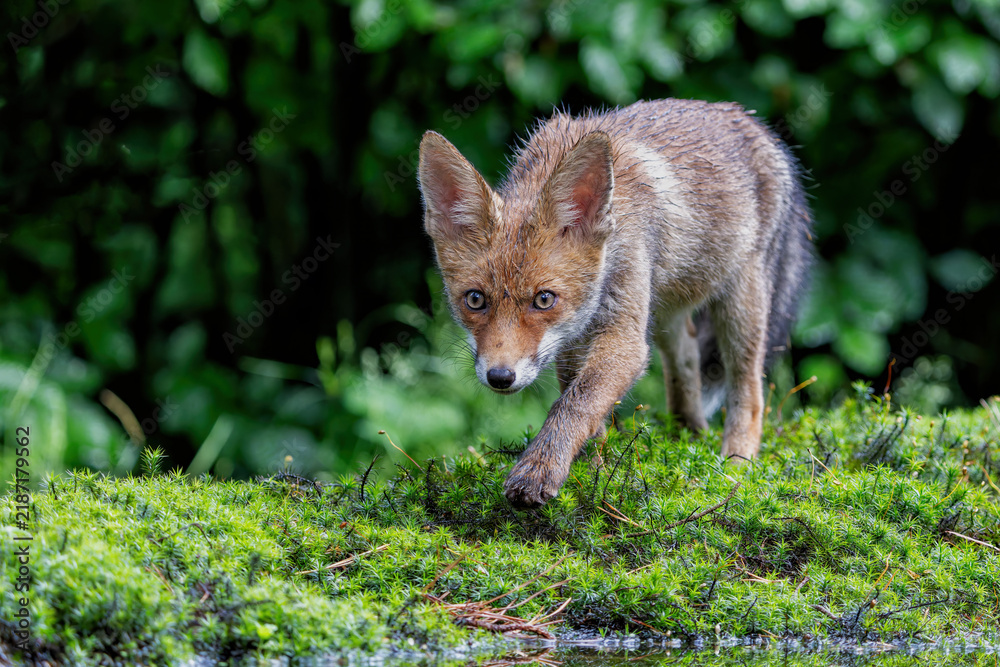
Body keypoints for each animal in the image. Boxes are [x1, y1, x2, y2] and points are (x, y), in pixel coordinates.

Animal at [417, 98, 813, 507]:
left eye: (544, 299)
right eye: (475, 299)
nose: (500, 377)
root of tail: (753, 123)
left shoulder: (623, 338)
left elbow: (576, 404)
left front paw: (540, 469)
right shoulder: (573, 340)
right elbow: (584, 407)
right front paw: (593, 471)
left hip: (739, 306)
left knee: (750, 391)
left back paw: (735, 467)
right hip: (663, 312)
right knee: (687, 358)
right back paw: (686, 434)